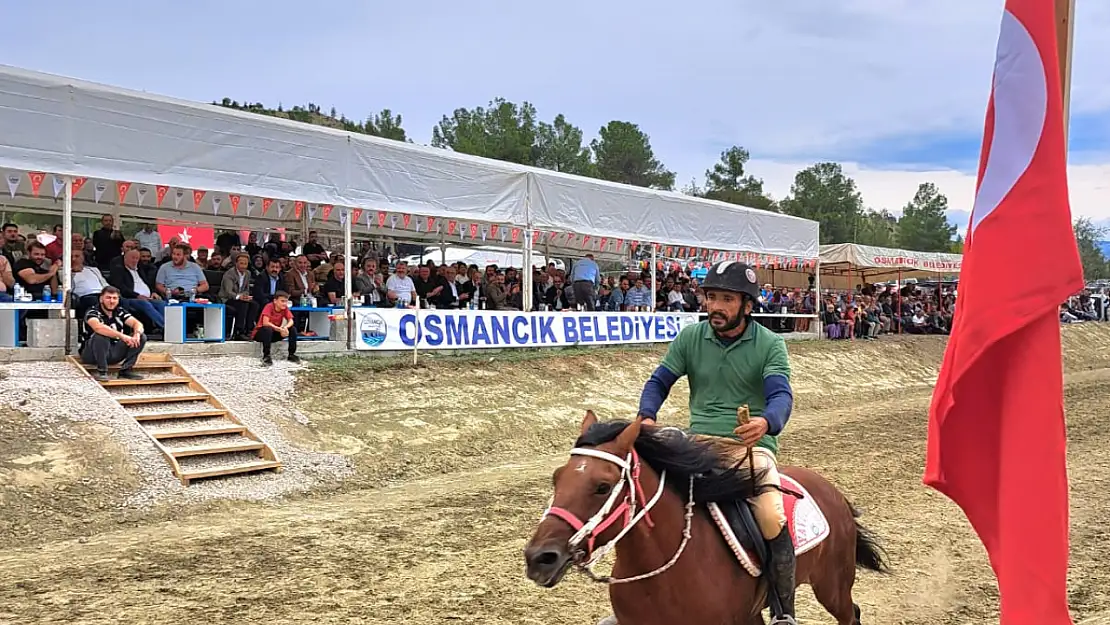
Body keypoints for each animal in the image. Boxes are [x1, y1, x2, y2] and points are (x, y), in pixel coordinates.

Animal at [523, 410, 888, 625]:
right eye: (557, 478)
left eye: (602, 486)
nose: (539, 558)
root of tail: (832, 492)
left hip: (833, 587)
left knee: (851, 615)